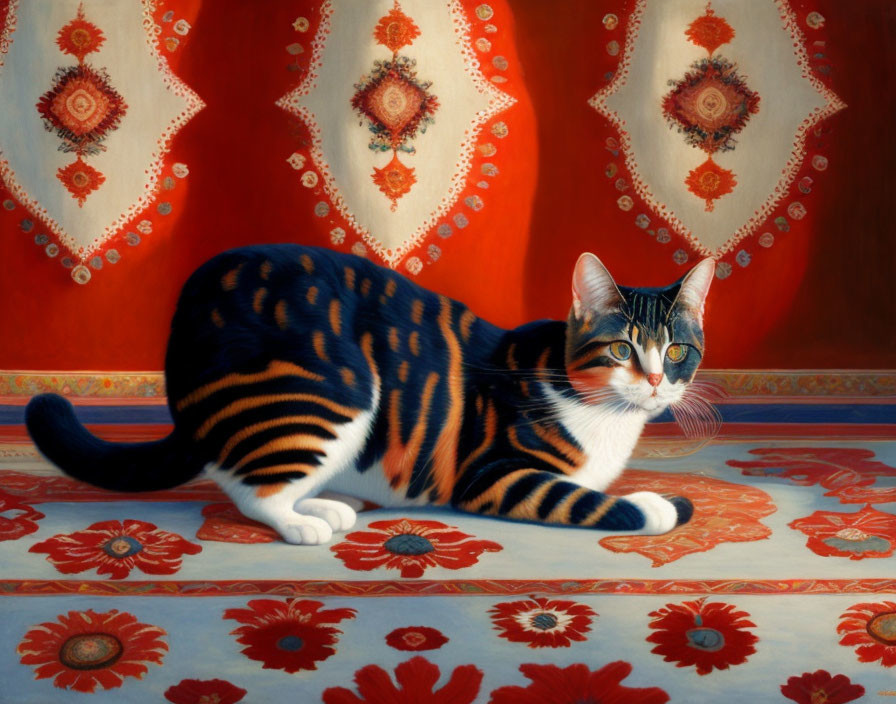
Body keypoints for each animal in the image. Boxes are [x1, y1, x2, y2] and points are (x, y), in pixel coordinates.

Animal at [24, 245, 716, 548]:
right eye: (622, 350)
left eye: (677, 352)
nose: (656, 381)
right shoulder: (496, 475)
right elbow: (599, 503)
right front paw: (660, 505)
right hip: (333, 395)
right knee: (252, 489)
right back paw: (304, 522)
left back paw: (331, 504)